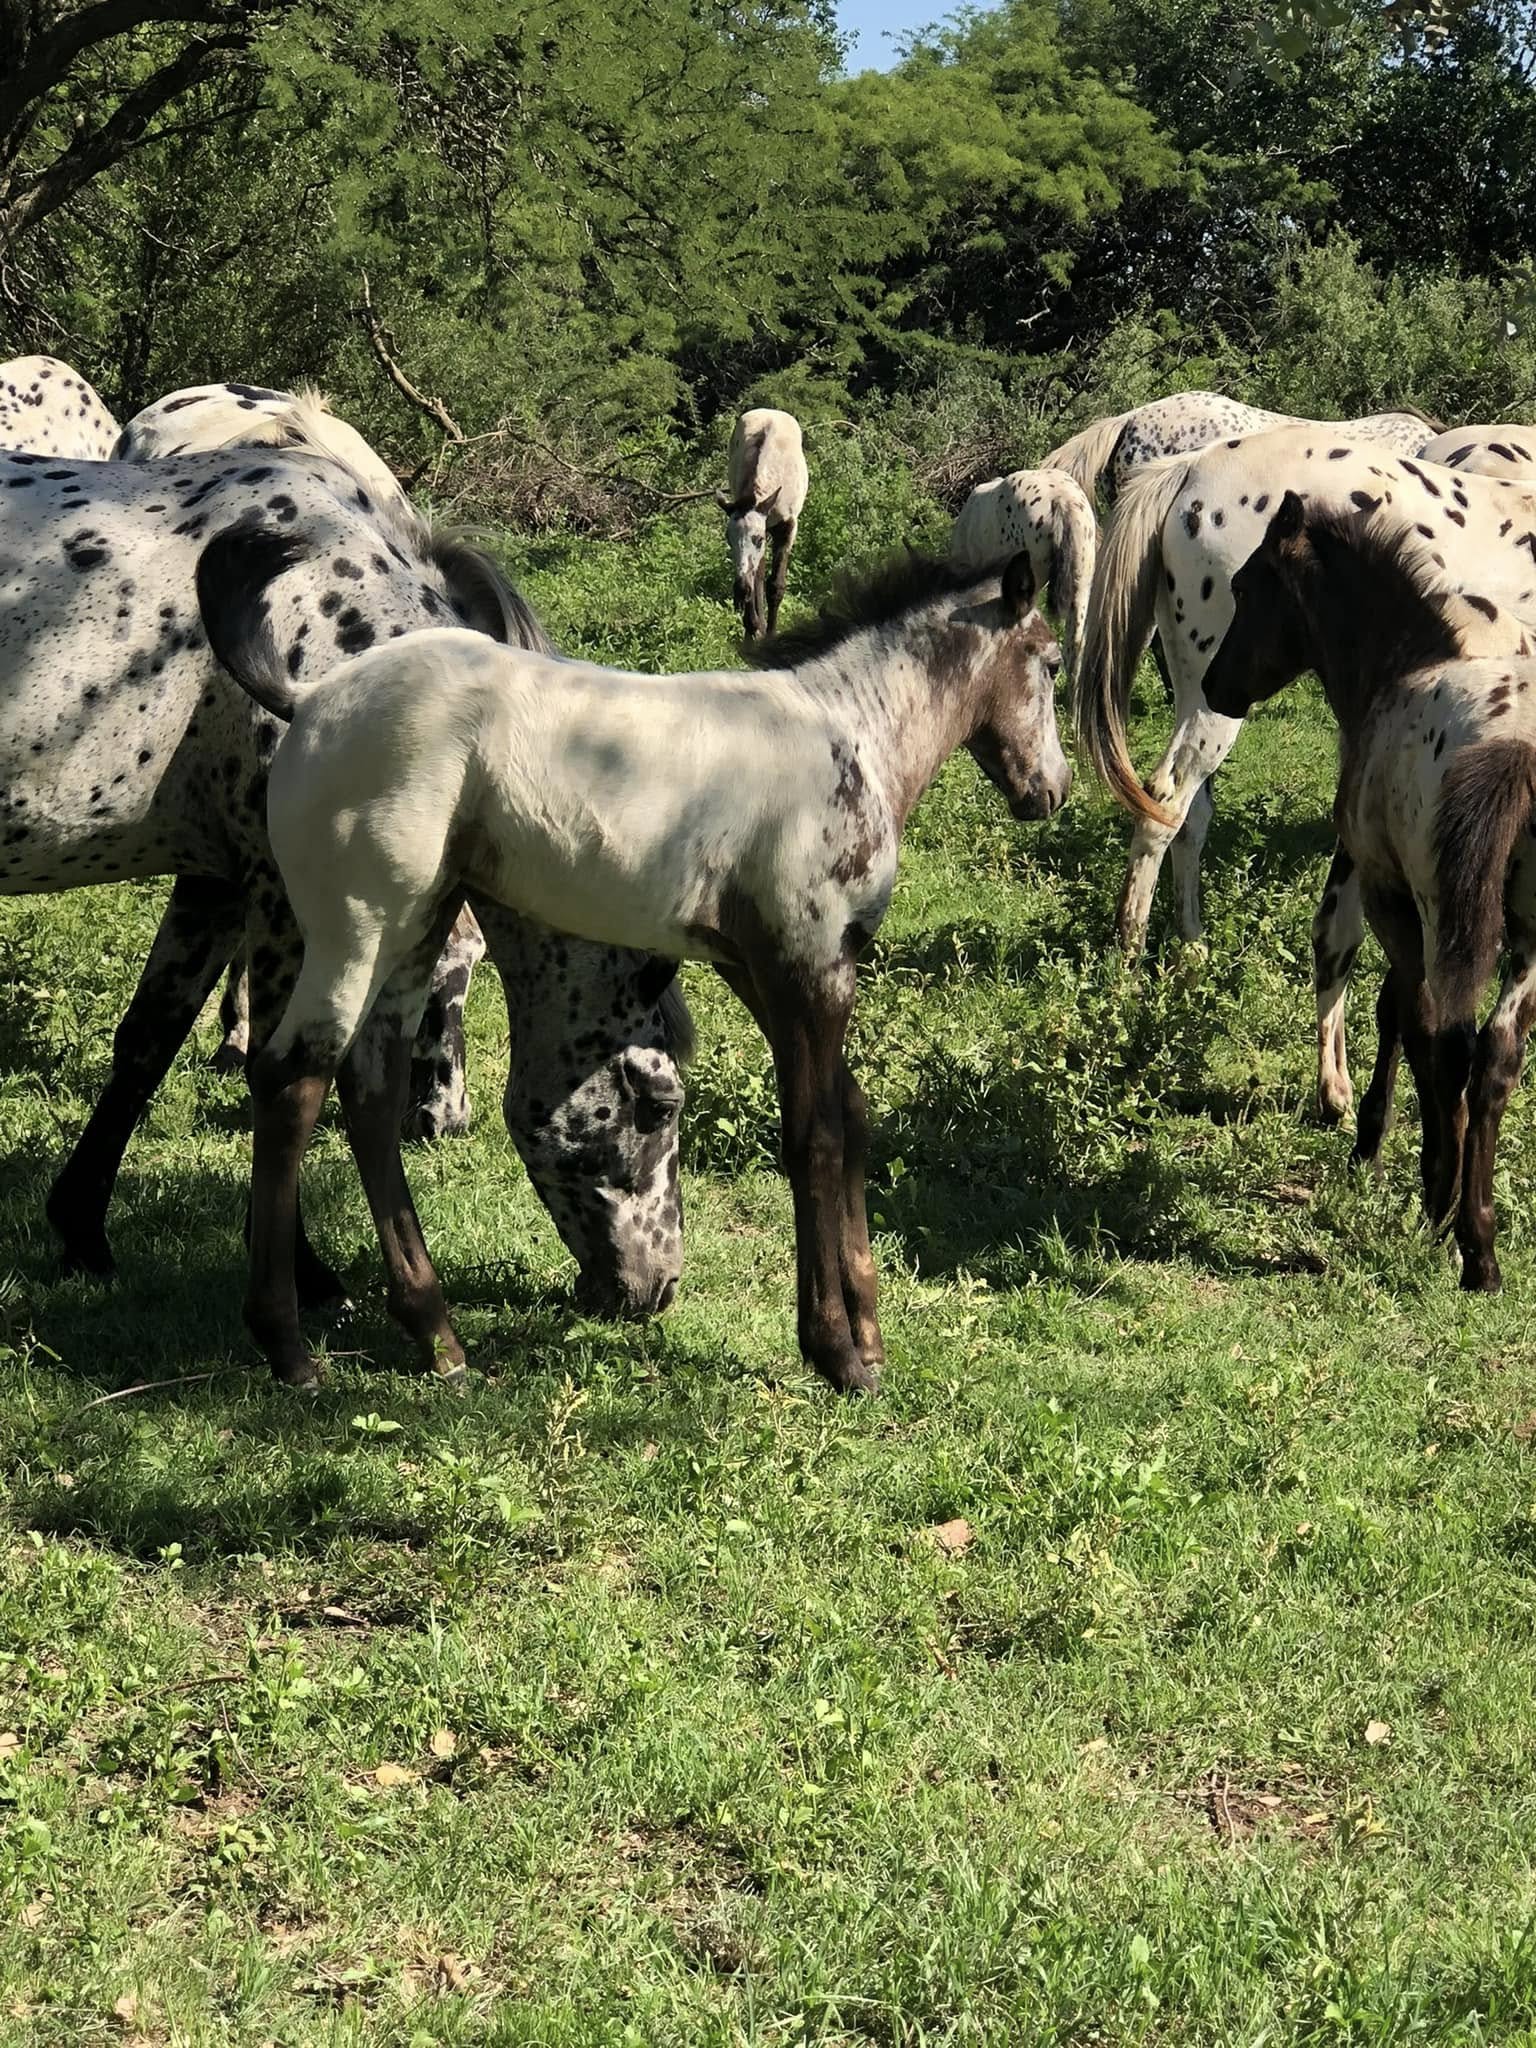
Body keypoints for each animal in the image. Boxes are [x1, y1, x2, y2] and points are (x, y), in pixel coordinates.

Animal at [0, 446, 691, 1356]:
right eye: (658, 1103)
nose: (660, 1285)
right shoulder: (285, 899)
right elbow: (284, 1073)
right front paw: (309, 1279)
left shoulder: (218, 882)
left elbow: (146, 1044)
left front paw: (81, 1227)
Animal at [195, 529, 1070, 1394]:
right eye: (1053, 663)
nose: (1051, 791)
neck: (843, 737)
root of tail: (310, 697)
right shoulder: (809, 960)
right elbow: (814, 1136)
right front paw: (837, 1353)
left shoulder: (760, 967)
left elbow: (847, 1117)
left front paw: (868, 1332)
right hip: (360, 924)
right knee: (293, 1079)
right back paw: (289, 1347)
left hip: (418, 927)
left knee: (370, 1093)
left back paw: (438, 1338)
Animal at [717, 409, 808, 639]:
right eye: (728, 540)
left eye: (757, 539)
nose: (740, 590)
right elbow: (754, 575)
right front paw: (752, 628)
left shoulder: (787, 528)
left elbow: (776, 585)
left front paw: (770, 633)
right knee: (757, 573)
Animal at [1075, 424, 1536, 1121]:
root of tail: (1190, 471)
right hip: (1214, 701)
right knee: (1166, 801)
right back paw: (1128, 962)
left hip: (1201, 695)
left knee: (1189, 816)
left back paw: (1191, 949)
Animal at [1202, 493, 1536, 1292]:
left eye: (1248, 587)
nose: (1214, 687)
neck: (1407, 661)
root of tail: (1513, 746)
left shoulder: (1391, 896)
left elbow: (1407, 1019)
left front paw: (1387, 1151)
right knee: (1498, 1057)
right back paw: (1483, 1250)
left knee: (1457, 1045)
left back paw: (1456, 1226)